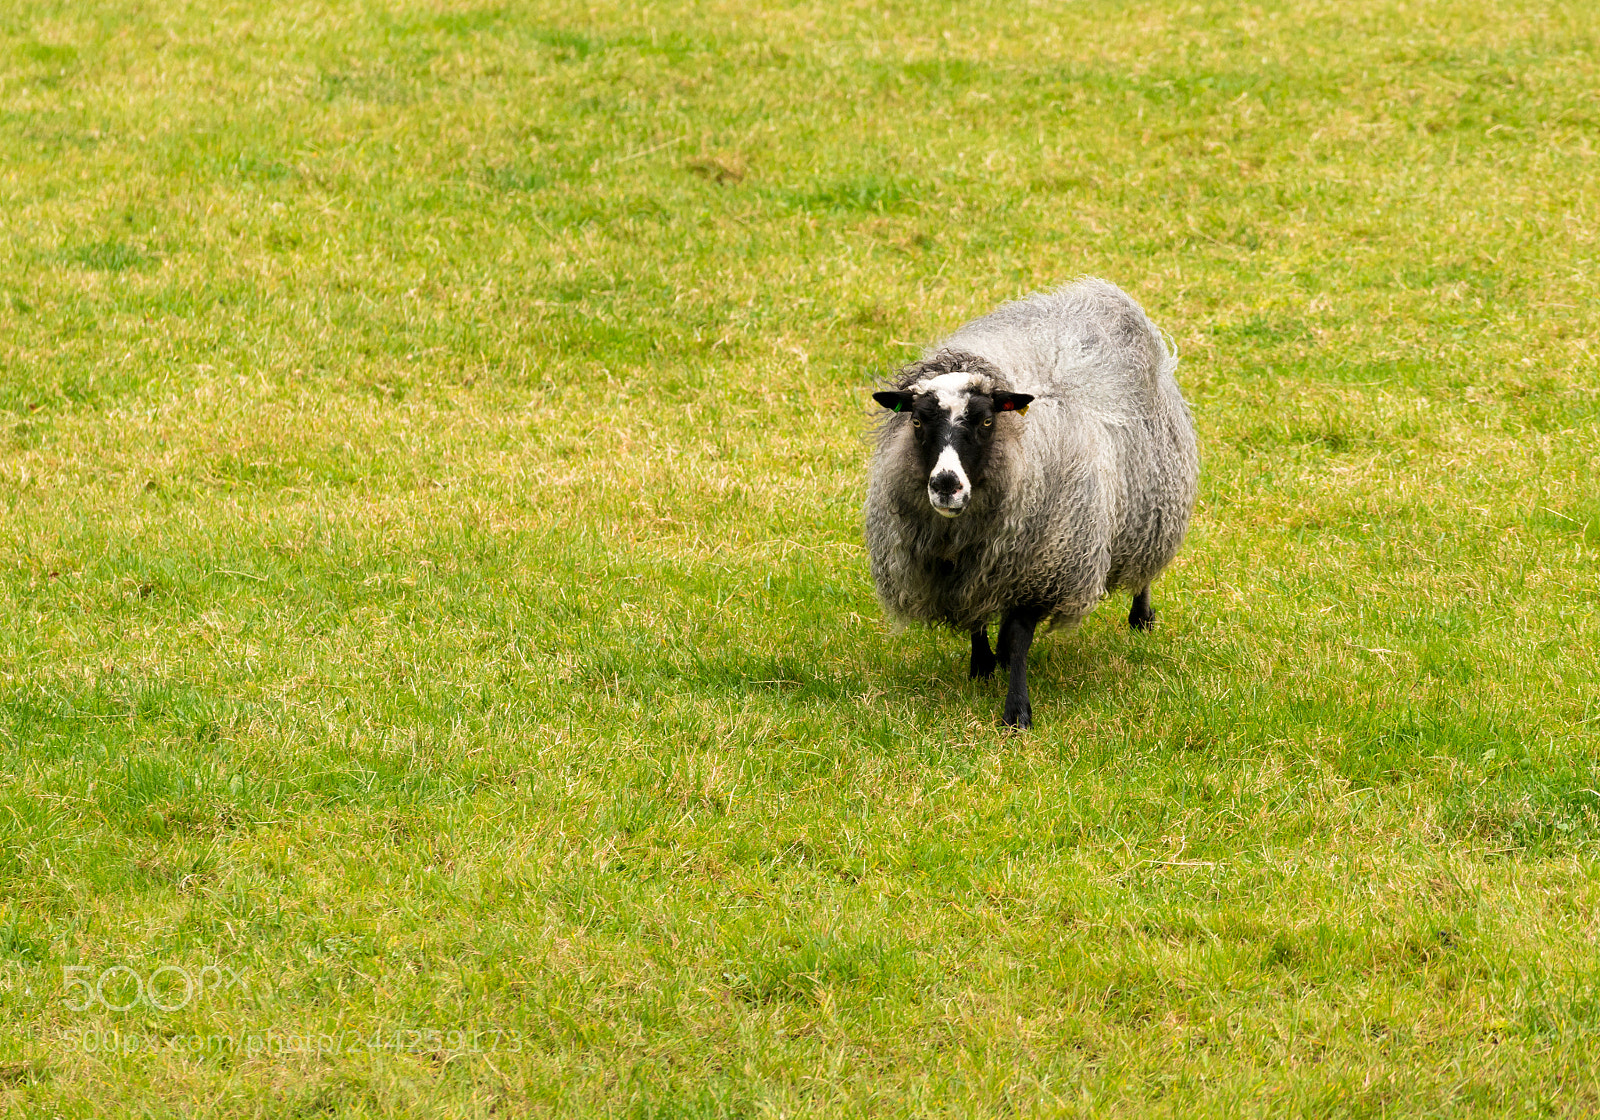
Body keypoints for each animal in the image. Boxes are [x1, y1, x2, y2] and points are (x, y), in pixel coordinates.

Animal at [864, 278, 1199, 729]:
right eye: (916, 421)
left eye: (987, 421)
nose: (946, 485)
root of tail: (1100, 293)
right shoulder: (972, 567)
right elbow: (977, 617)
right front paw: (982, 665)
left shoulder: (1042, 566)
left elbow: (1022, 635)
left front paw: (1016, 711)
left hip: (1151, 497)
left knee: (1145, 563)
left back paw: (1141, 617)